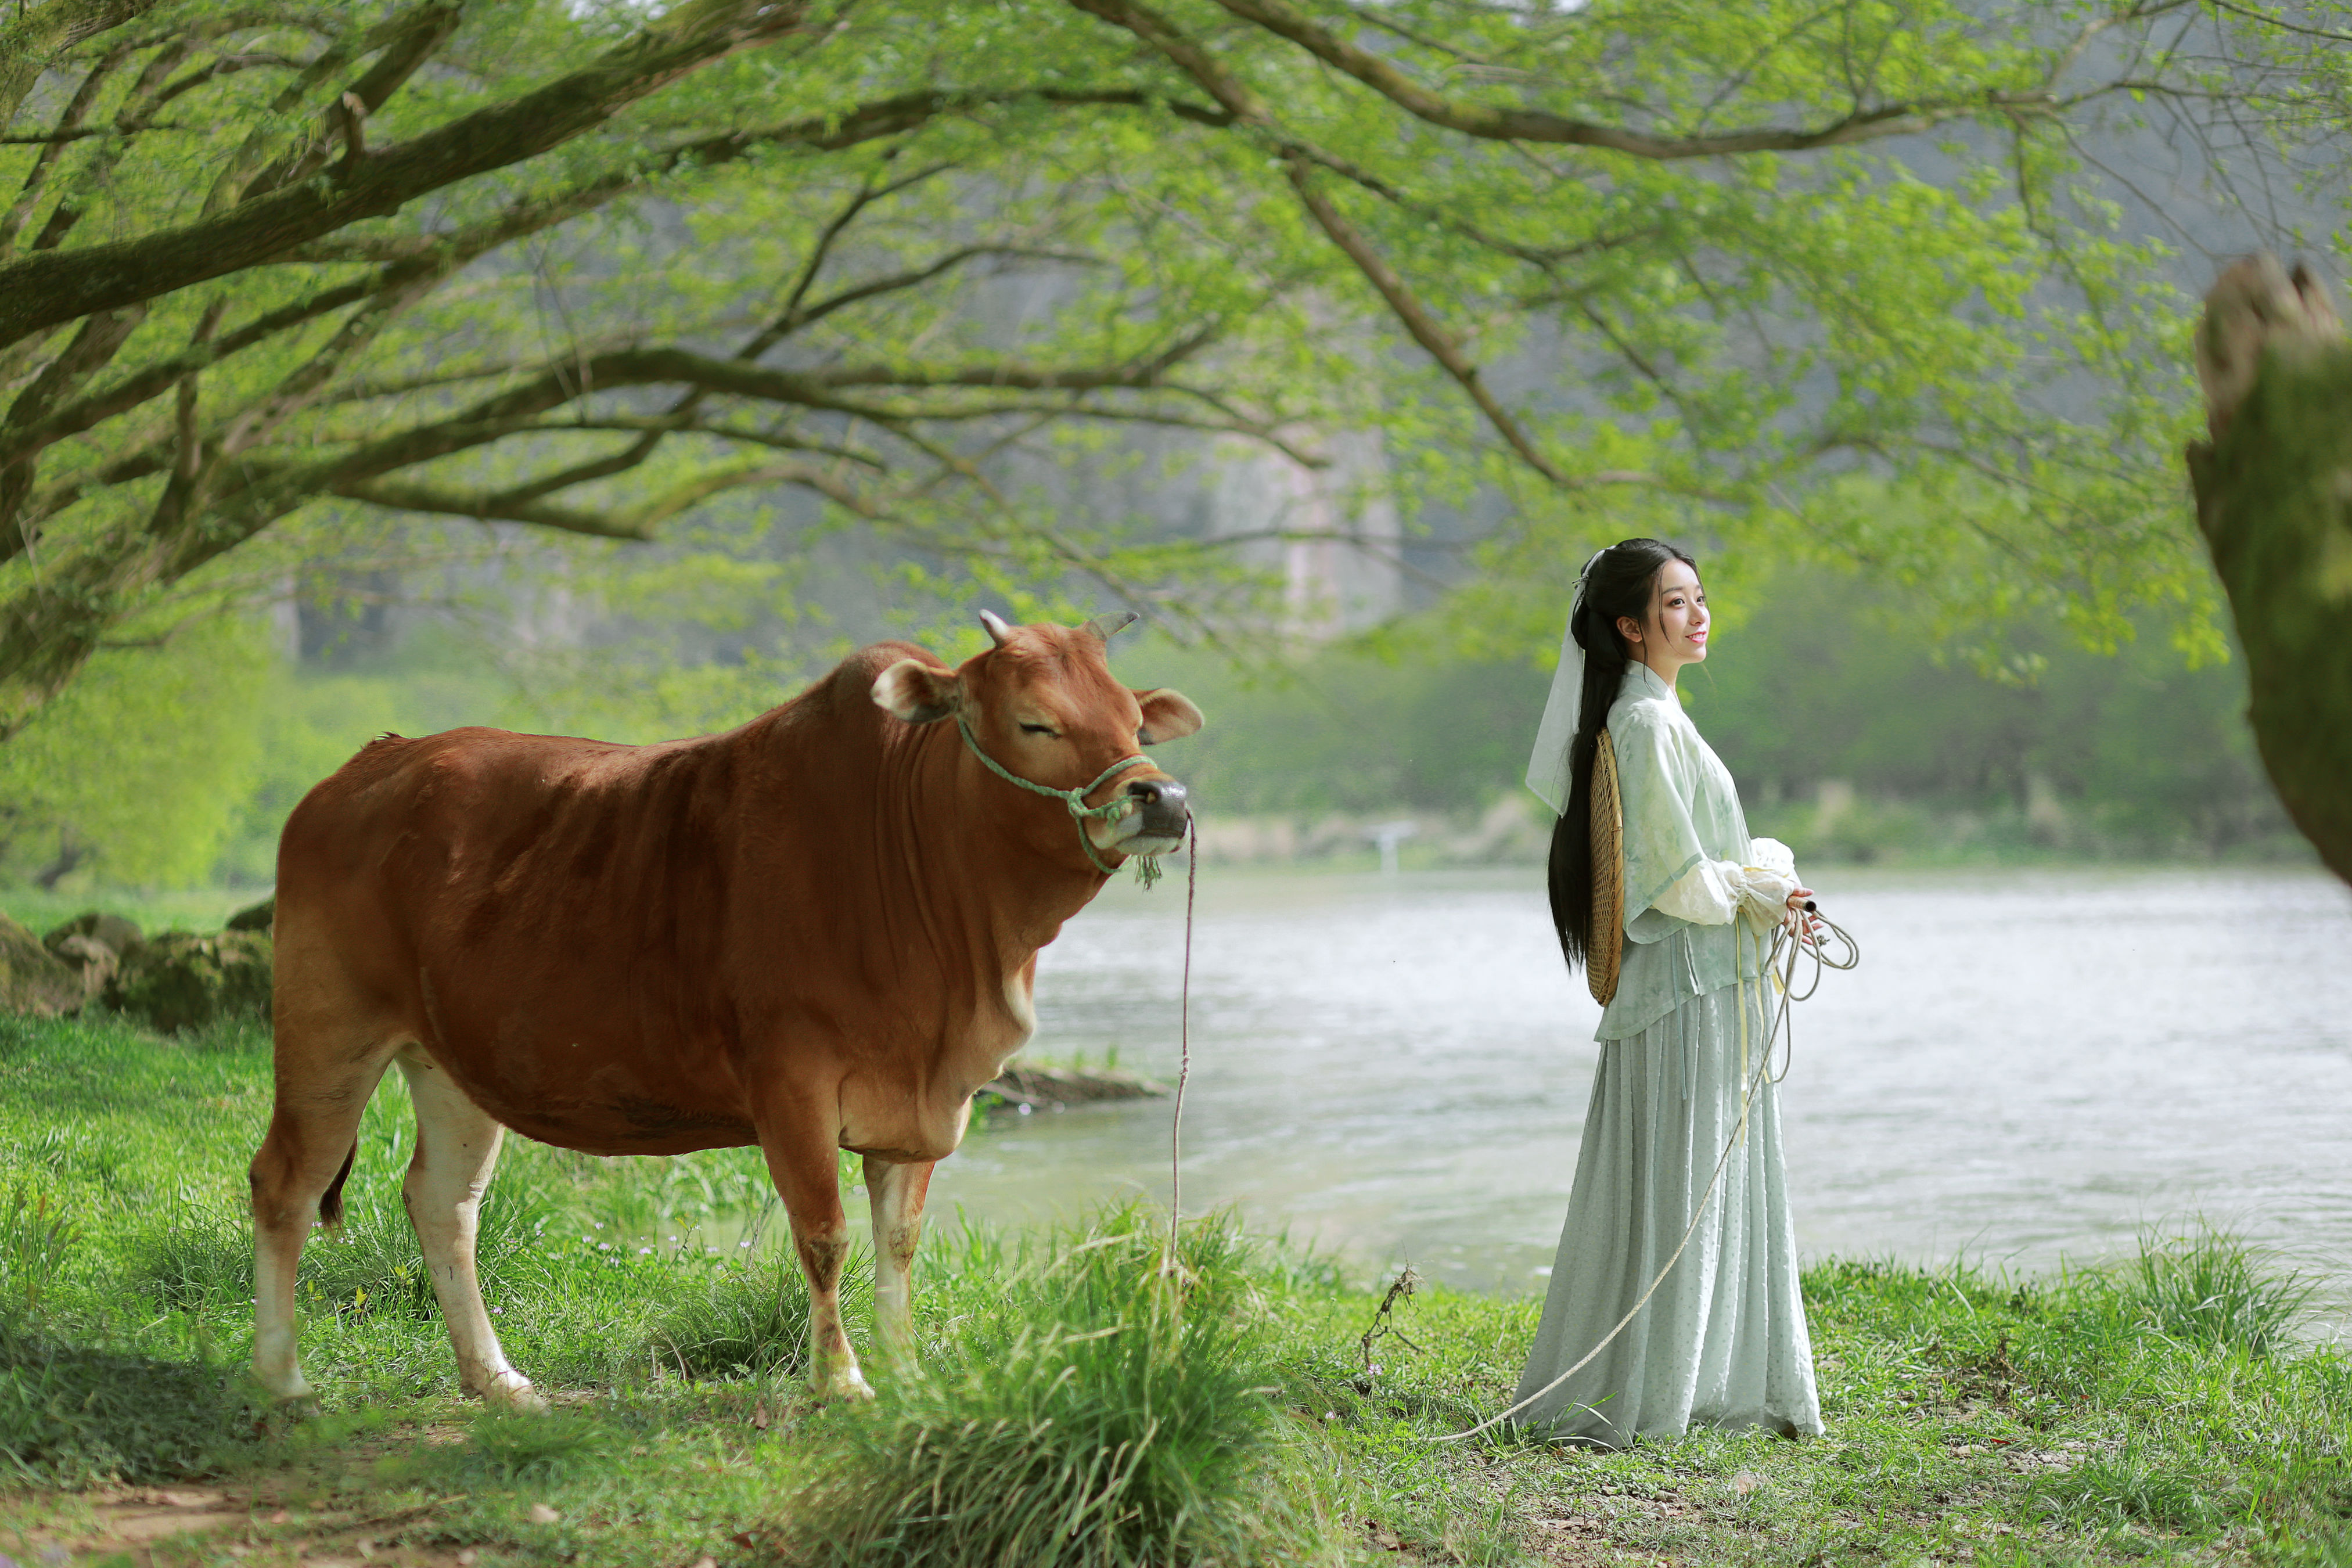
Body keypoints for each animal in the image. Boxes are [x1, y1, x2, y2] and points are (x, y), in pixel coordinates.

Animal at [250, 611, 1204, 1410]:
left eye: (1132, 722)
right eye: (1034, 721)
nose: (1162, 797)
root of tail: (369, 765)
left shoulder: (921, 1103)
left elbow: (899, 1240)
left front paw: (906, 1371)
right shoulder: (791, 1083)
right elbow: (824, 1235)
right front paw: (842, 1381)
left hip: (449, 1061)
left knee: (444, 1202)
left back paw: (496, 1380)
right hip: (327, 1025)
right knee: (286, 1180)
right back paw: (284, 1379)